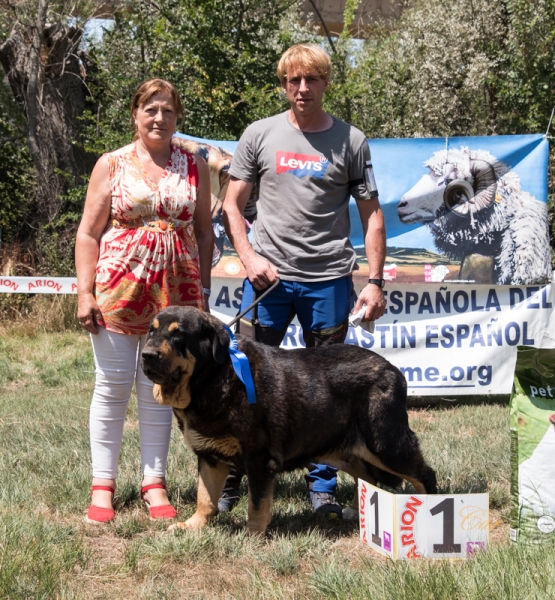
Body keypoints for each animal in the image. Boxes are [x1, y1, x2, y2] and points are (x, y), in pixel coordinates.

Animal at [141, 308, 436, 532]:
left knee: (424, 475)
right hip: (349, 451)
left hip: (386, 444)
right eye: (151, 331)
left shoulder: (259, 457)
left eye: (178, 334)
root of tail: (393, 370)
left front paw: (252, 535)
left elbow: (257, 505)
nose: (147, 355)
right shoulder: (209, 457)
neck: (215, 377)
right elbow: (205, 498)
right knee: (367, 479)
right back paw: (357, 511)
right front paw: (193, 525)